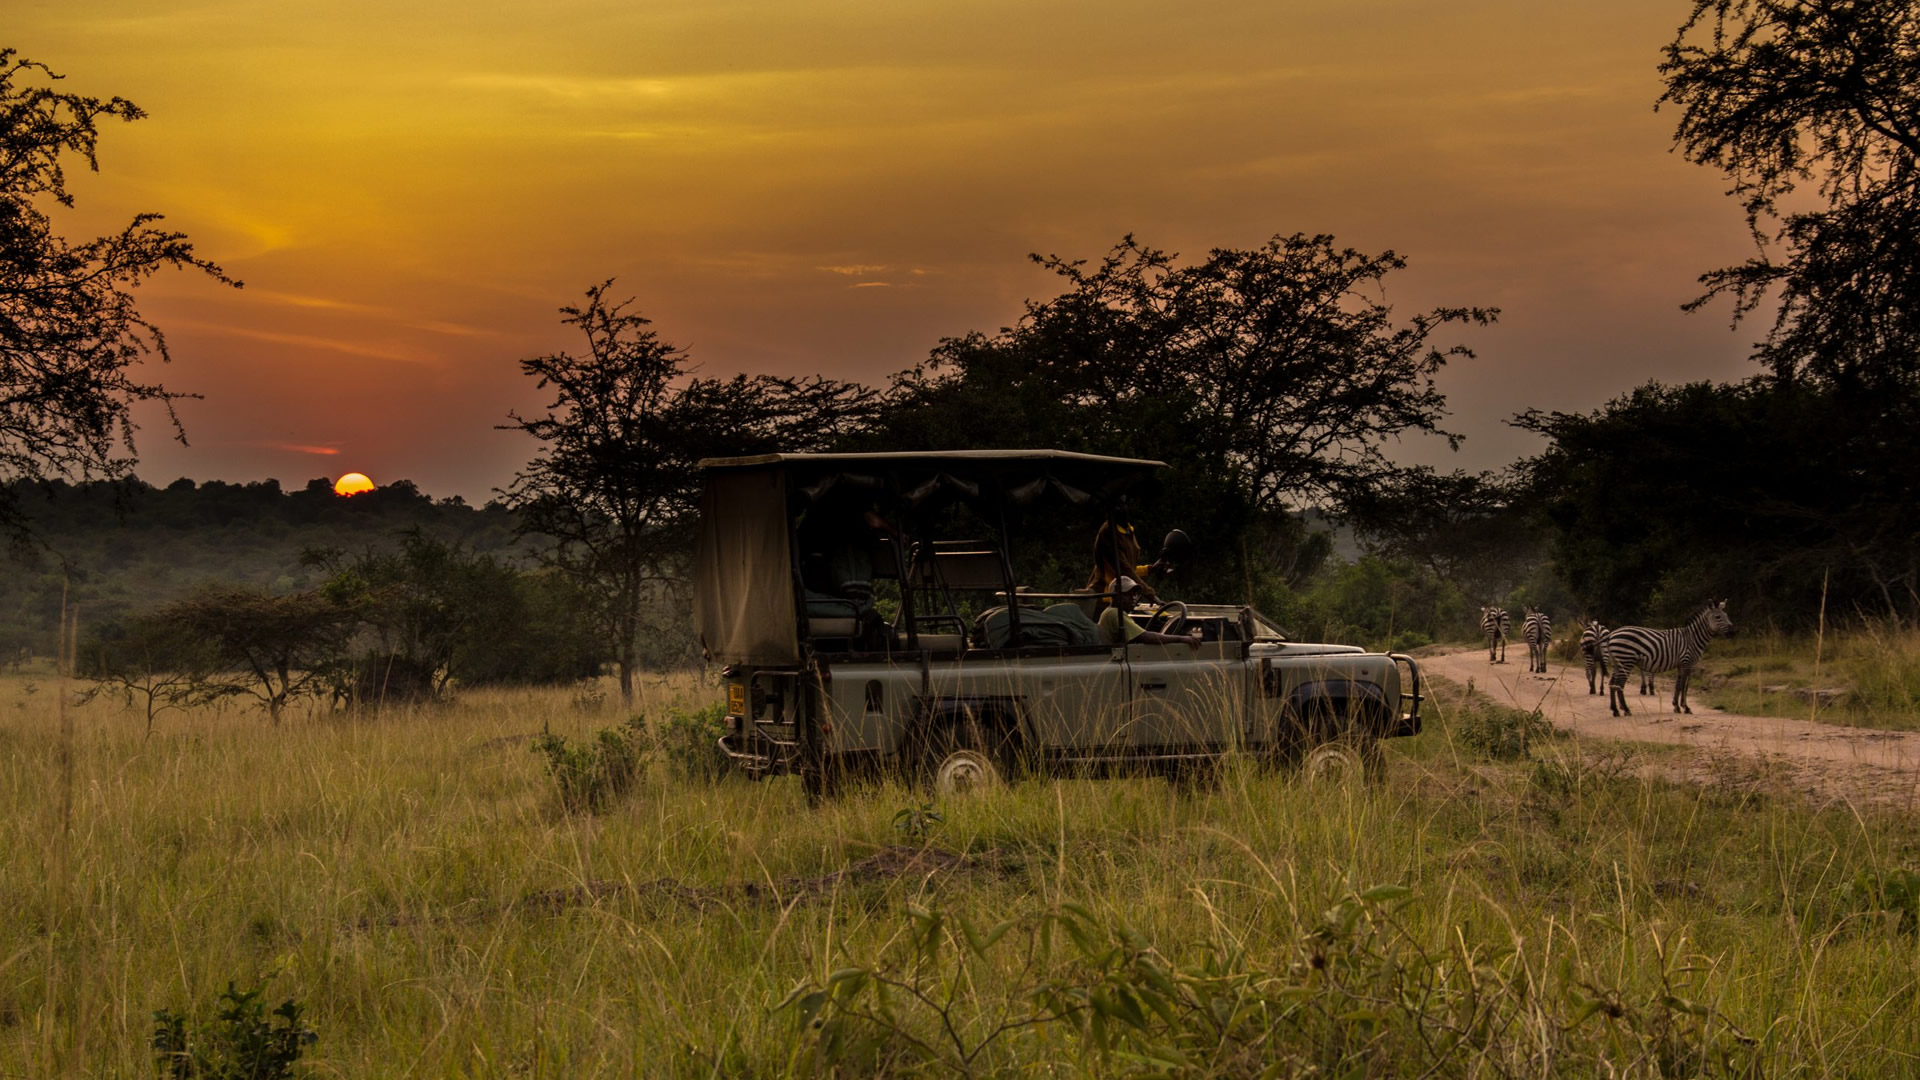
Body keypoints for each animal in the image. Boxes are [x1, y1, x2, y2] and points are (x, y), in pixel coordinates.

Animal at [1597, 595, 1735, 714]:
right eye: (1718, 617)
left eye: (1727, 615)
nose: (1732, 633)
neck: (1692, 638)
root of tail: (1612, 635)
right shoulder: (1687, 663)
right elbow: (1684, 686)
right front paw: (1685, 707)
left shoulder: (1680, 665)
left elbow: (1678, 685)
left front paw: (1676, 706)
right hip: (1626, 661)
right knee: (1619, 685)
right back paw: (1626, 710)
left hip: (1617, 662)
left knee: (1613, 683)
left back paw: (1615, 710)